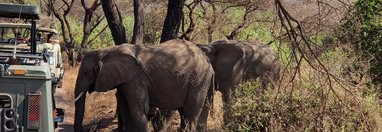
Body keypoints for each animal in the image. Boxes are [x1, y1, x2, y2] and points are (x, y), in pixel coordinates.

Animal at [74, 38, 215, 131]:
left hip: (198, 80)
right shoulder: (125, 81)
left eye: (86, 72)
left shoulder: (136, 79)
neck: (107, 51)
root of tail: (208, 62)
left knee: (191, 113)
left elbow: (138, 110)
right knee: (189, 113)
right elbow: (125, 110)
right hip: (199, 82)